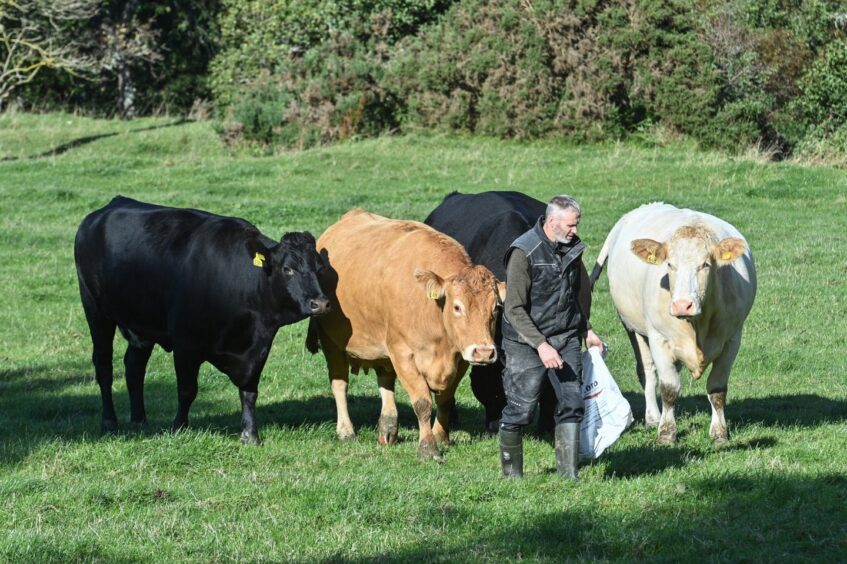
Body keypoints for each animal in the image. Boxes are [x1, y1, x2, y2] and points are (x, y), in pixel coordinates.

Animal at [74, 196, 330, 442]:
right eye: (288, 269)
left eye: (320, 268)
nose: (320, 303)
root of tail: (103, 211)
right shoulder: (185, 343)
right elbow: (187, 390)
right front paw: (179, 426)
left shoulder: (259, 347)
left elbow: (249, 392)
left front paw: (250, 434)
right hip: (95, 311)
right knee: (104, 366)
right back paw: (109, 421)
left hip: (140, 327)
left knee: (134, 368)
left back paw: (139, 420)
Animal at [310, 209, 504, 460]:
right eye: (457, 307)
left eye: (496, 308)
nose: (484, 352)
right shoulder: (403, 355)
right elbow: (423, 403)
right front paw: (428, 447)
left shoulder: (460, 358)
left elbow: (445, 400)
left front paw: (441, 436)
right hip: (331, 340)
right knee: (339, 383)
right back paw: (346, 430)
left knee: (385, 381)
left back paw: (388, 427)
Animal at [592, 204, 760, 446]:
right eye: (670, 264)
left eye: (705, 264)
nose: (682, 305)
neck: (697, 325)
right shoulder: (659, 338)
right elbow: (669, 389)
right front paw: (666, 432)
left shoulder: (732, 339)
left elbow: (717, 390)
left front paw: (720, 433)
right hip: (633, 327)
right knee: (647, 371)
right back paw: (653, 417)